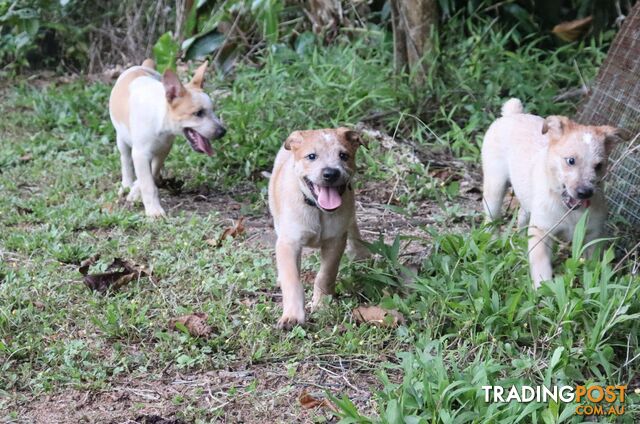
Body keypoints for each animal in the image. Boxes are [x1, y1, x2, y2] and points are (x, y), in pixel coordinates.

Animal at [110, 58, 228, 219]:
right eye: (198, 113)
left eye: (213, 111)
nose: (223, 132)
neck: (160, 119)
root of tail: (140, 66)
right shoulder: (140, 153)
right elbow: (147, 183)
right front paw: (153, 210)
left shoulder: (163, 150)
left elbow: (151, 174)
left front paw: (136, 193)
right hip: (121, 139)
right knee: (125, 160)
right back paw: (126, 184)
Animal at [268, 127, 370, 330]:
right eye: (311, 156)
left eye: (343, 155)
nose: (330, 173)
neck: (317, 209)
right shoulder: (289, 242)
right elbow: (292, 280)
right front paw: (292, 316)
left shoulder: (335, 241)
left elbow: (326, 274)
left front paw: (322, 304)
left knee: (353, 225)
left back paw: (360, 252)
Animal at [480, 97, 620, 286]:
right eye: (571, 160)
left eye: (598, 166)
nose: (585, 192)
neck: (569, 211)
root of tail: (513, 114)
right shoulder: (541, 232)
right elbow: (542, 268)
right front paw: (543, 290)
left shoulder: (593, 235)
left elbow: (592, 267)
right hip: (495, 186)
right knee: (491, 217)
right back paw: (493, 241)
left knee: (522, 216)